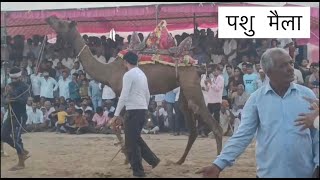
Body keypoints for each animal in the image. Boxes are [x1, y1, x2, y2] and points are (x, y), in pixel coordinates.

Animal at [45, 15, 222, 165]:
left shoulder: (122, 92)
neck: (108, 72)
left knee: (213, 124)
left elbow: (119, 125)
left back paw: (217, 161)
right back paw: (178, 161)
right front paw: (129, 158)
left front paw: (127, 158)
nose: (50, 18)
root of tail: (197, 67)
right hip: (185, 89)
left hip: (191, 85)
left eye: (61, 22)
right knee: (191, 124)